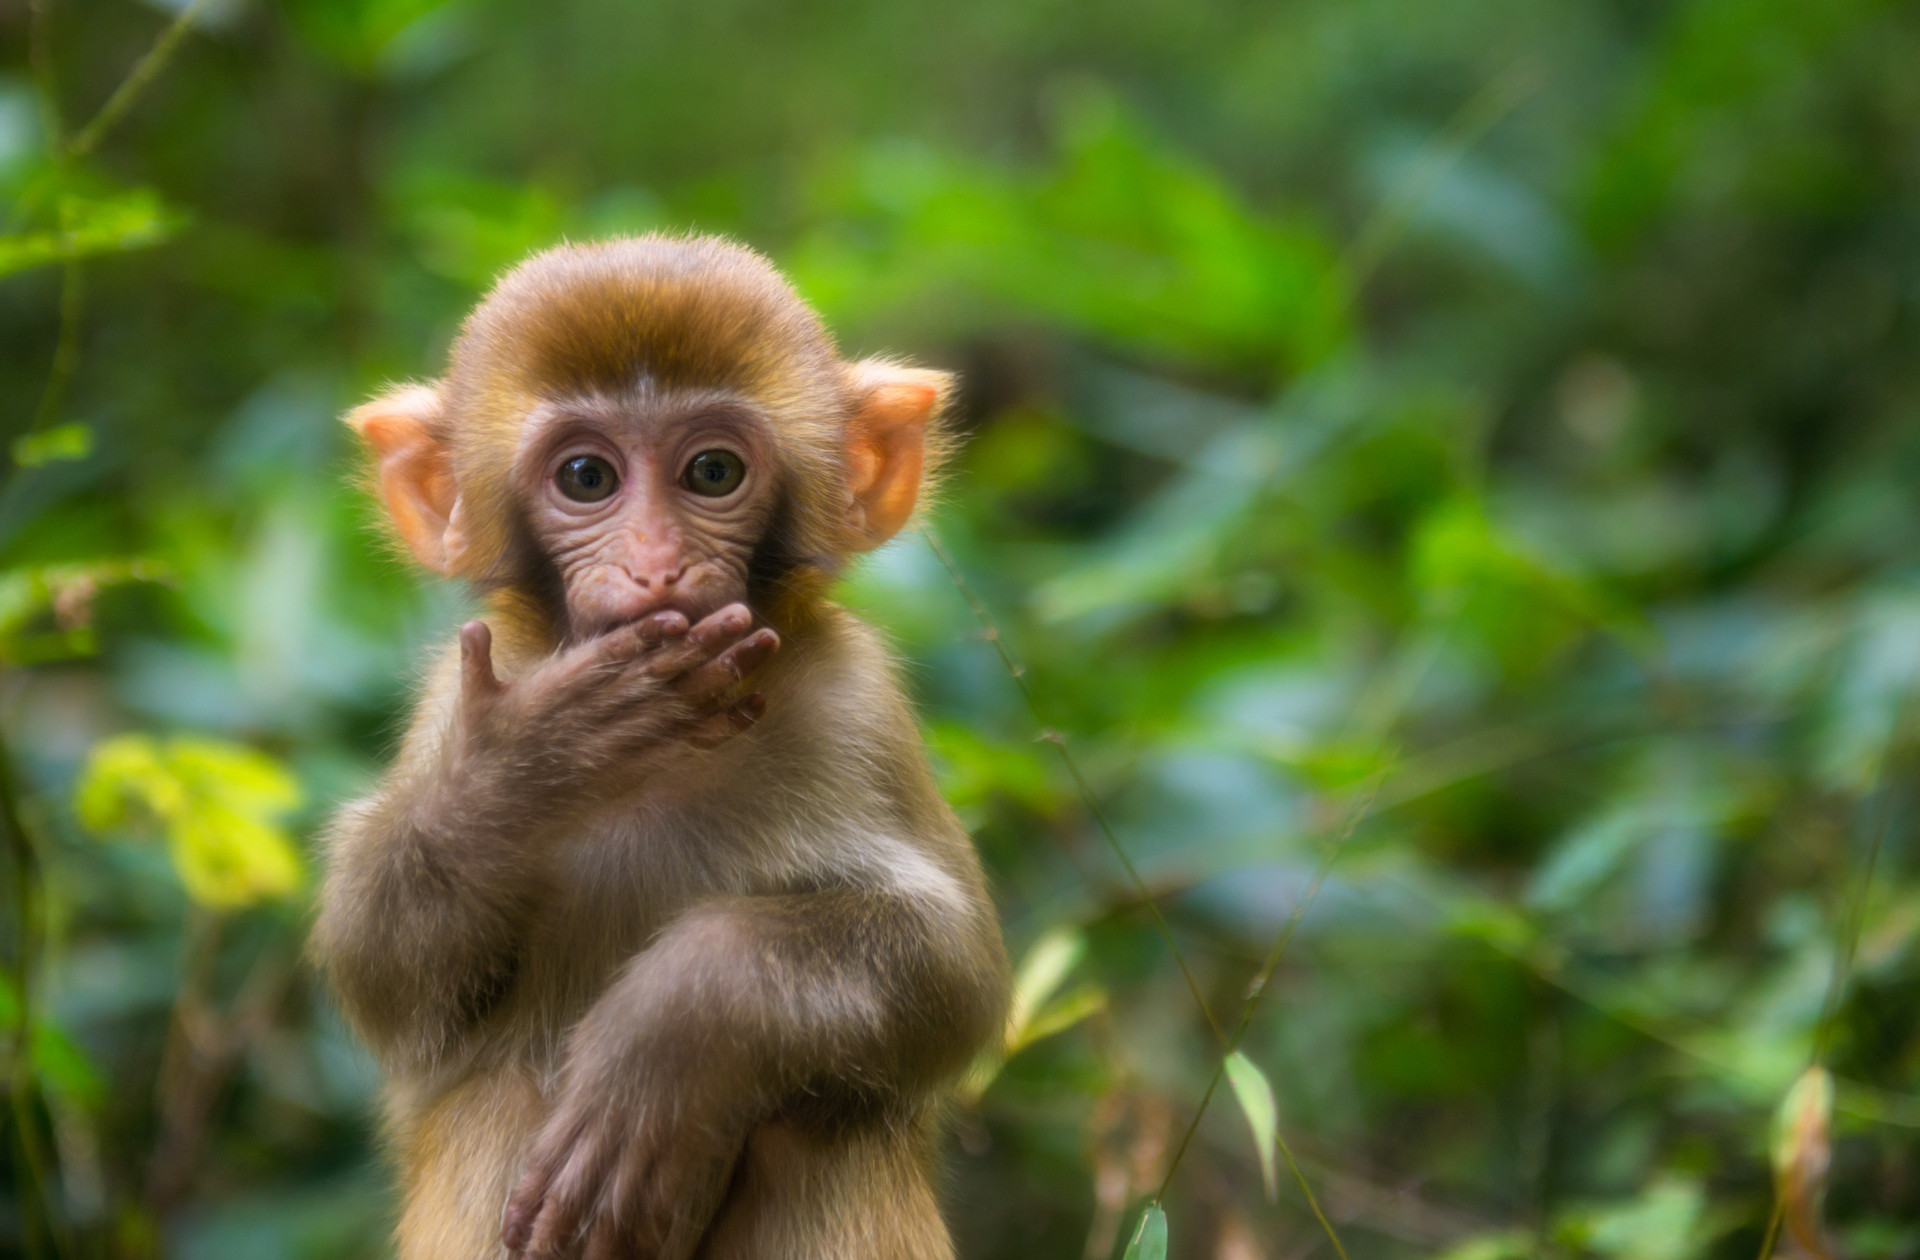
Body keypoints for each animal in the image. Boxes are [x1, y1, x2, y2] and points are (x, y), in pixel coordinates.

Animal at [311, 236, 1006, 1260]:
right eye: (587, 479)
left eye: (712, 472)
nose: (654, 566)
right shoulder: (458, 692)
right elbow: (383, 968)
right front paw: (538, 757)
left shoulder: (858, 705)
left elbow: (955, 968)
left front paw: (671, 1033)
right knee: (496, 1097)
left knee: (823, 1134)